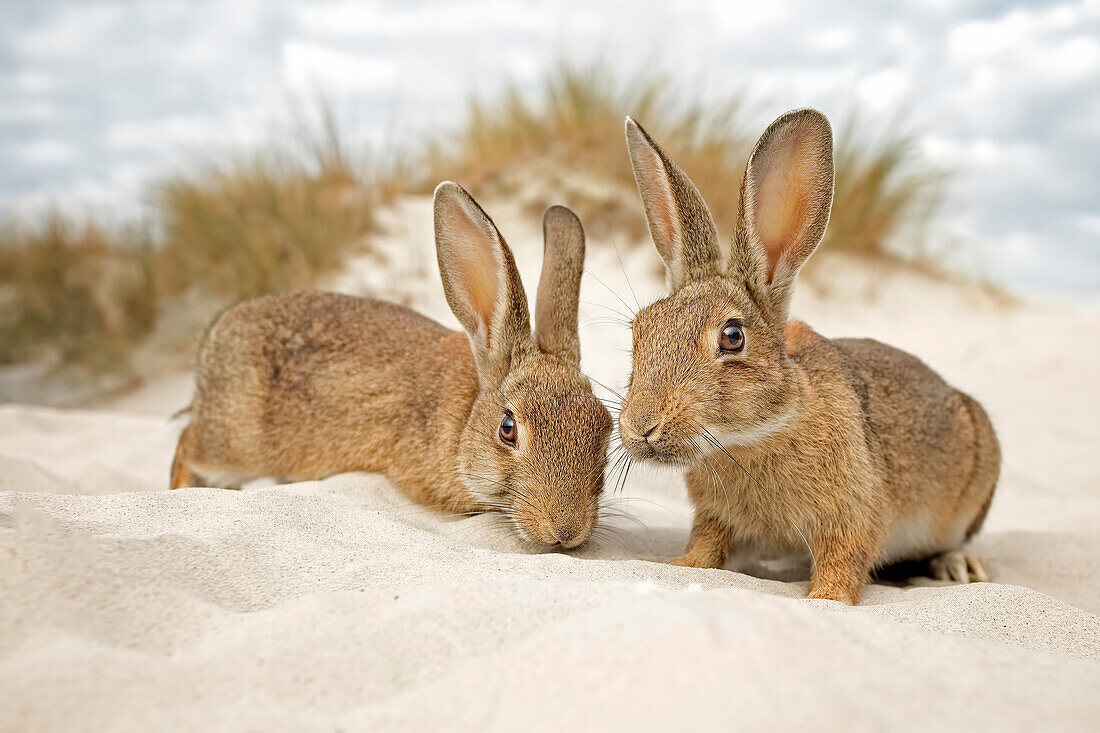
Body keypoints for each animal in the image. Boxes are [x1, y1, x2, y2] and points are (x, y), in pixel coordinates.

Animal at [174, 182, 616, 548]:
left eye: (604, 429)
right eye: (508, 429)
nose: (565, 531)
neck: (464, 419)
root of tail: (212, 340)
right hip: (235, 444)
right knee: (187, 443)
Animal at [616, 108, 1003, 598]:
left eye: (732, 336)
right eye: (640, 329)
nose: (642, 426)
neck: (753, 437)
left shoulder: (854, 515)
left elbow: (844, 563)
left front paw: (825, 598)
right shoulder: (716, 520)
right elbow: (706, 547)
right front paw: (676, 564)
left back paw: (961, 566)